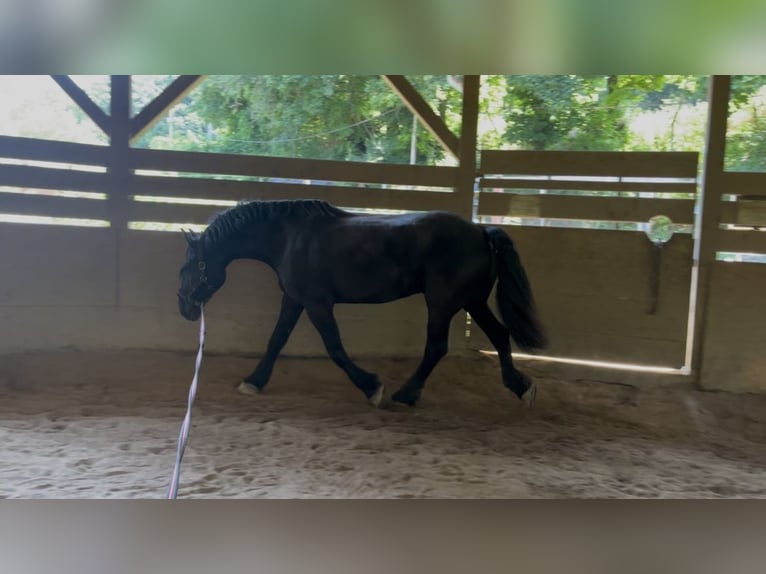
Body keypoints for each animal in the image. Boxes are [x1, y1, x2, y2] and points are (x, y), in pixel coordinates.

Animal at [177, 199, 547, 408]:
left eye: (187, 267)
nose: (185, 308)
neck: (289, 237)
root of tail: (482, 231)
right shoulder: (294, 299)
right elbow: (276, 340)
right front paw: (253, 382)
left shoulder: (317, 304)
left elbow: (335, 349)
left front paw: (372, 387)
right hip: (472, 301)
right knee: (499, 335)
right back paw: (521, 388)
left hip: (443, 303)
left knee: (436, 347)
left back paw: (404, 396)